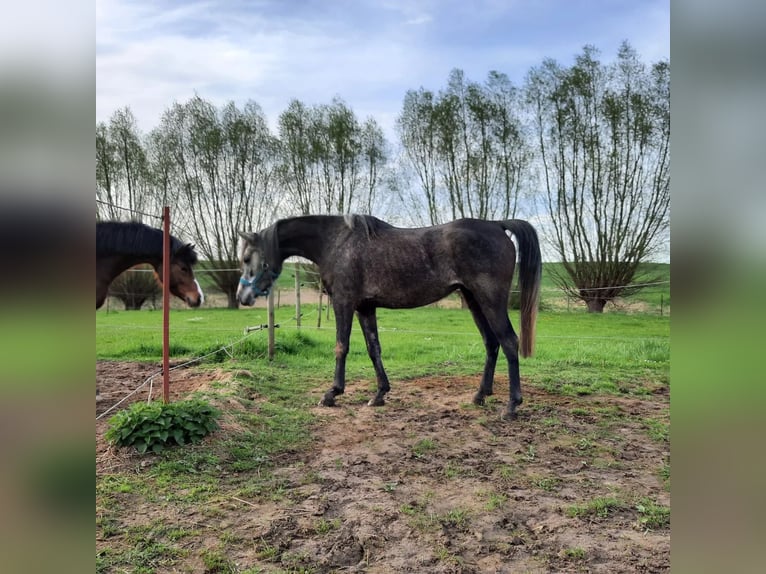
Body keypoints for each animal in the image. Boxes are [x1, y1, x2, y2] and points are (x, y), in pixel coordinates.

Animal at [237, 214, 542, 419]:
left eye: (246, 258)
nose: (242, 296)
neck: (336, 243)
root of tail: (497, 224)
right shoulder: (365, 307)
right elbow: (374, 349)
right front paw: (379, 394)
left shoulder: (344, 303)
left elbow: (341, 347)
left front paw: (332, 393)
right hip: (473, 299)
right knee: (492, 343)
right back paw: (480, 395)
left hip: (490, 300)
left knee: (509, 342)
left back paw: (511, 406)